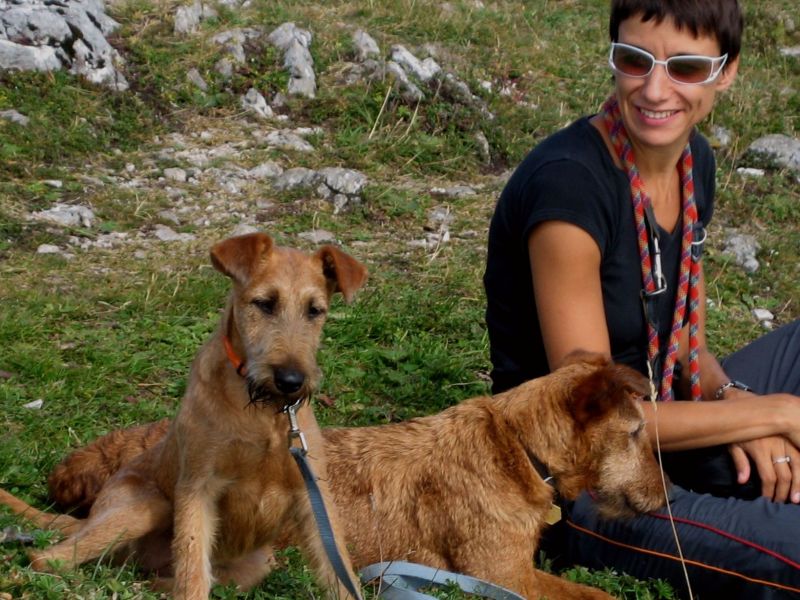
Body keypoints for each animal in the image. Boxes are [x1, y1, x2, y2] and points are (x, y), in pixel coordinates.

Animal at [0, 231, 367, 600]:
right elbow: (192, 572)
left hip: (256, 563)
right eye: (265, 303)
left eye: (315, 310)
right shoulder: (198, 487)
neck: (263, 414)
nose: (290, 381)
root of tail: (89, 517)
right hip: (144, 508)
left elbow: (340, 573)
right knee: (46, 557)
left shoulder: (312, 497)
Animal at [18, 351, 666, 599]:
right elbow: (598, 593)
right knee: (44, 560)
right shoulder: (500, 575)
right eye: (638, 432)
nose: (665, 499)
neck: (518, 444)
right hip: (148, 511)